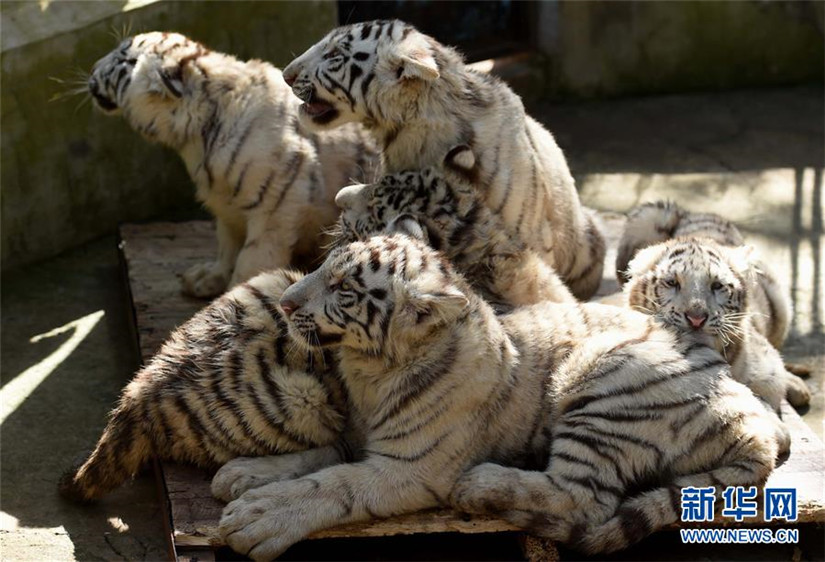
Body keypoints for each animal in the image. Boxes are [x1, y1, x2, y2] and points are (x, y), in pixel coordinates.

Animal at [88, 32, 378, 298]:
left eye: (124, 61)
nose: (92, 70)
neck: (195, 135)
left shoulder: (275, 208)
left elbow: (250, 261)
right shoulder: (225, 200)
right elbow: (226, 244)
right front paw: (206, 278)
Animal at [211, 232, 786, 560]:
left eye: (344, 291)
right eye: (321, 269)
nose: (286, 304)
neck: (370, 369)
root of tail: (751, 419)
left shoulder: (411, 468)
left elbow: (336, 484)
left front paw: (260, 515)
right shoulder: (357, 430)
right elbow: (322, 453)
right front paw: (246, 473)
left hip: (601, 381)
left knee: (583, 500)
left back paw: (482, 484)